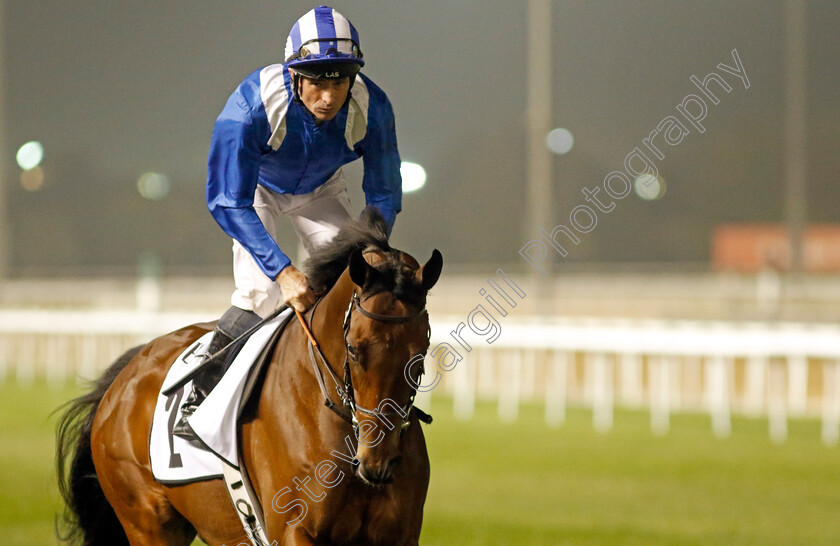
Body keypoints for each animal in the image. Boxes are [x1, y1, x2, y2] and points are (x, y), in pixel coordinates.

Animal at [55, 209, 442, 544]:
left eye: (420, 353)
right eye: (353, 349)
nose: (378, 462)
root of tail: (121, 379)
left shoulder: (400, 534)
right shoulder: (294, 530)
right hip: (147, 522)